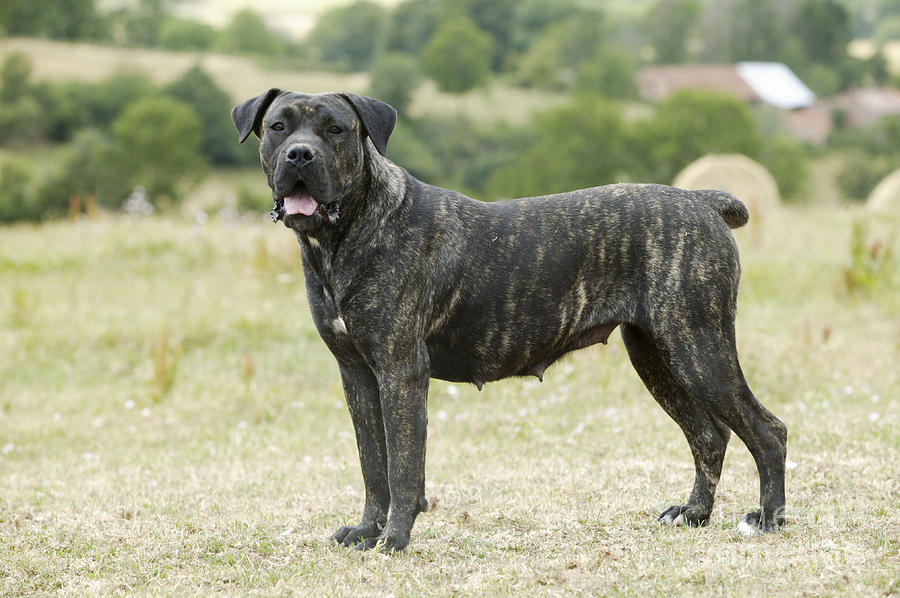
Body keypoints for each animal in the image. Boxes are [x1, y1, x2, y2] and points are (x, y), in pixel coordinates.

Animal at [232, 89, 788, 552]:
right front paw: (367, 532)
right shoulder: (358, 376)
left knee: (767, 430)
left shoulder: (400, 372)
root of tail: (701, 199)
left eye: (336, 130)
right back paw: (694, 513)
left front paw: (393, 540)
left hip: (699, 350)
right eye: (278, 126)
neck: (344, 235)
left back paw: (767, 519)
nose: (299, 155)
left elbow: (404, 469)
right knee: (709, 435)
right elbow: (375, 467)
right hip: (657, 356)